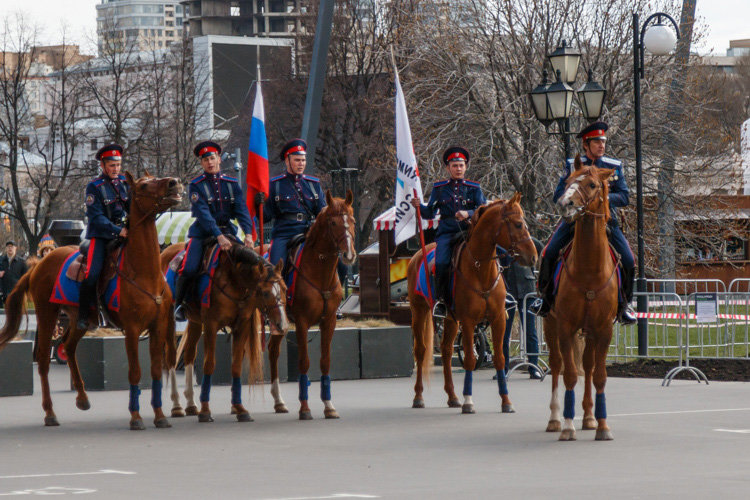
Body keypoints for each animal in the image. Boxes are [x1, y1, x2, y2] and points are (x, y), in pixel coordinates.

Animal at [0, 172, 184, 430]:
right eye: (144, 186)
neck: (144, 272)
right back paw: (50, 413)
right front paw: (136, 417)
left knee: (68, 347)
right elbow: (135, 372)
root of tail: (39, 264)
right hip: (47, 315)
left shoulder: (158, 327)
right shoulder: (132, 329)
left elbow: (156, 371)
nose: (174, 182)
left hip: (80, 318)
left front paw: (159, 415)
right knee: (44, 360)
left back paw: (82, 397)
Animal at [160, 242, 290, 422]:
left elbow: (236, 364)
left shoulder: (241, 325)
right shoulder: (211, 325)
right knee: (172, 357)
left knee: (189, 355)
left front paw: (239, 408)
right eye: (265, 292)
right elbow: (209, 364)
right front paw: (206, 411)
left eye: (284, 288)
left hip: (194, 322)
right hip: (170, 322)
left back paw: (191, 404)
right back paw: (177, 406)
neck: (234, 281)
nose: (282, 324)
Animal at [266, 189, 356, 420]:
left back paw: (278, 401)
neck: (319, 271)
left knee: (272, 350)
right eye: (333, 222)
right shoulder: (302, 322)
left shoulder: (329, 321)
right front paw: (305, 408)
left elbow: (325, 361)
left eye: (352, 220)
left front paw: (329, 405)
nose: (349, 255)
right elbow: (304, 361)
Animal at [408, 194, 536, 414]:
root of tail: (418, 255)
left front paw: (506, 401)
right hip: (419, 311)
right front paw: (469, 400)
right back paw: (419, 397)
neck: (481, 269)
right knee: (421, 350)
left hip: (450, 320)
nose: (534, 256)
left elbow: (500, 358)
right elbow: (469, 358)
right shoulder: (468, 322)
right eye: (518, 224)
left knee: (446, 350)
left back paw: (452, 396)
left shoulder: (498, 319)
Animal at [544, 157, 620, 442]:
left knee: (587, 367)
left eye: (593, 184)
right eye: (567, 181)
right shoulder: (565, 327)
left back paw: (588, 417)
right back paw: (555, 418)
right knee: (556, 365)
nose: (565, 203)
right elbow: (568, 375)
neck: (589, 269)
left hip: (589, 331)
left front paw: (603, 425)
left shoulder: (604, 329)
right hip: (550, 324)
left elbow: (599, 375)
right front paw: (567, 425)